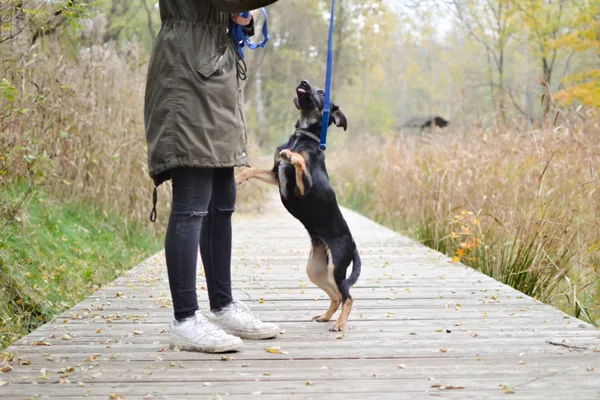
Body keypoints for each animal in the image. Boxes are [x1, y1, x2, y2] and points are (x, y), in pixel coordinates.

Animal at [237, 79, 360, 332]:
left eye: (322, 92)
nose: (304, 82)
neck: (302, 136)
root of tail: (353, 245)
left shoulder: (304, 187)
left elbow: (300, 160)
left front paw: (293, 155)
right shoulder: (275, 175)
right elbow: (252, 170)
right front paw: (238, 178)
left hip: (337, 268)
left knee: (348, 296)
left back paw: (340, 324)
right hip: (316, 271)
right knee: (336, 296)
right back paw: (326, 317)